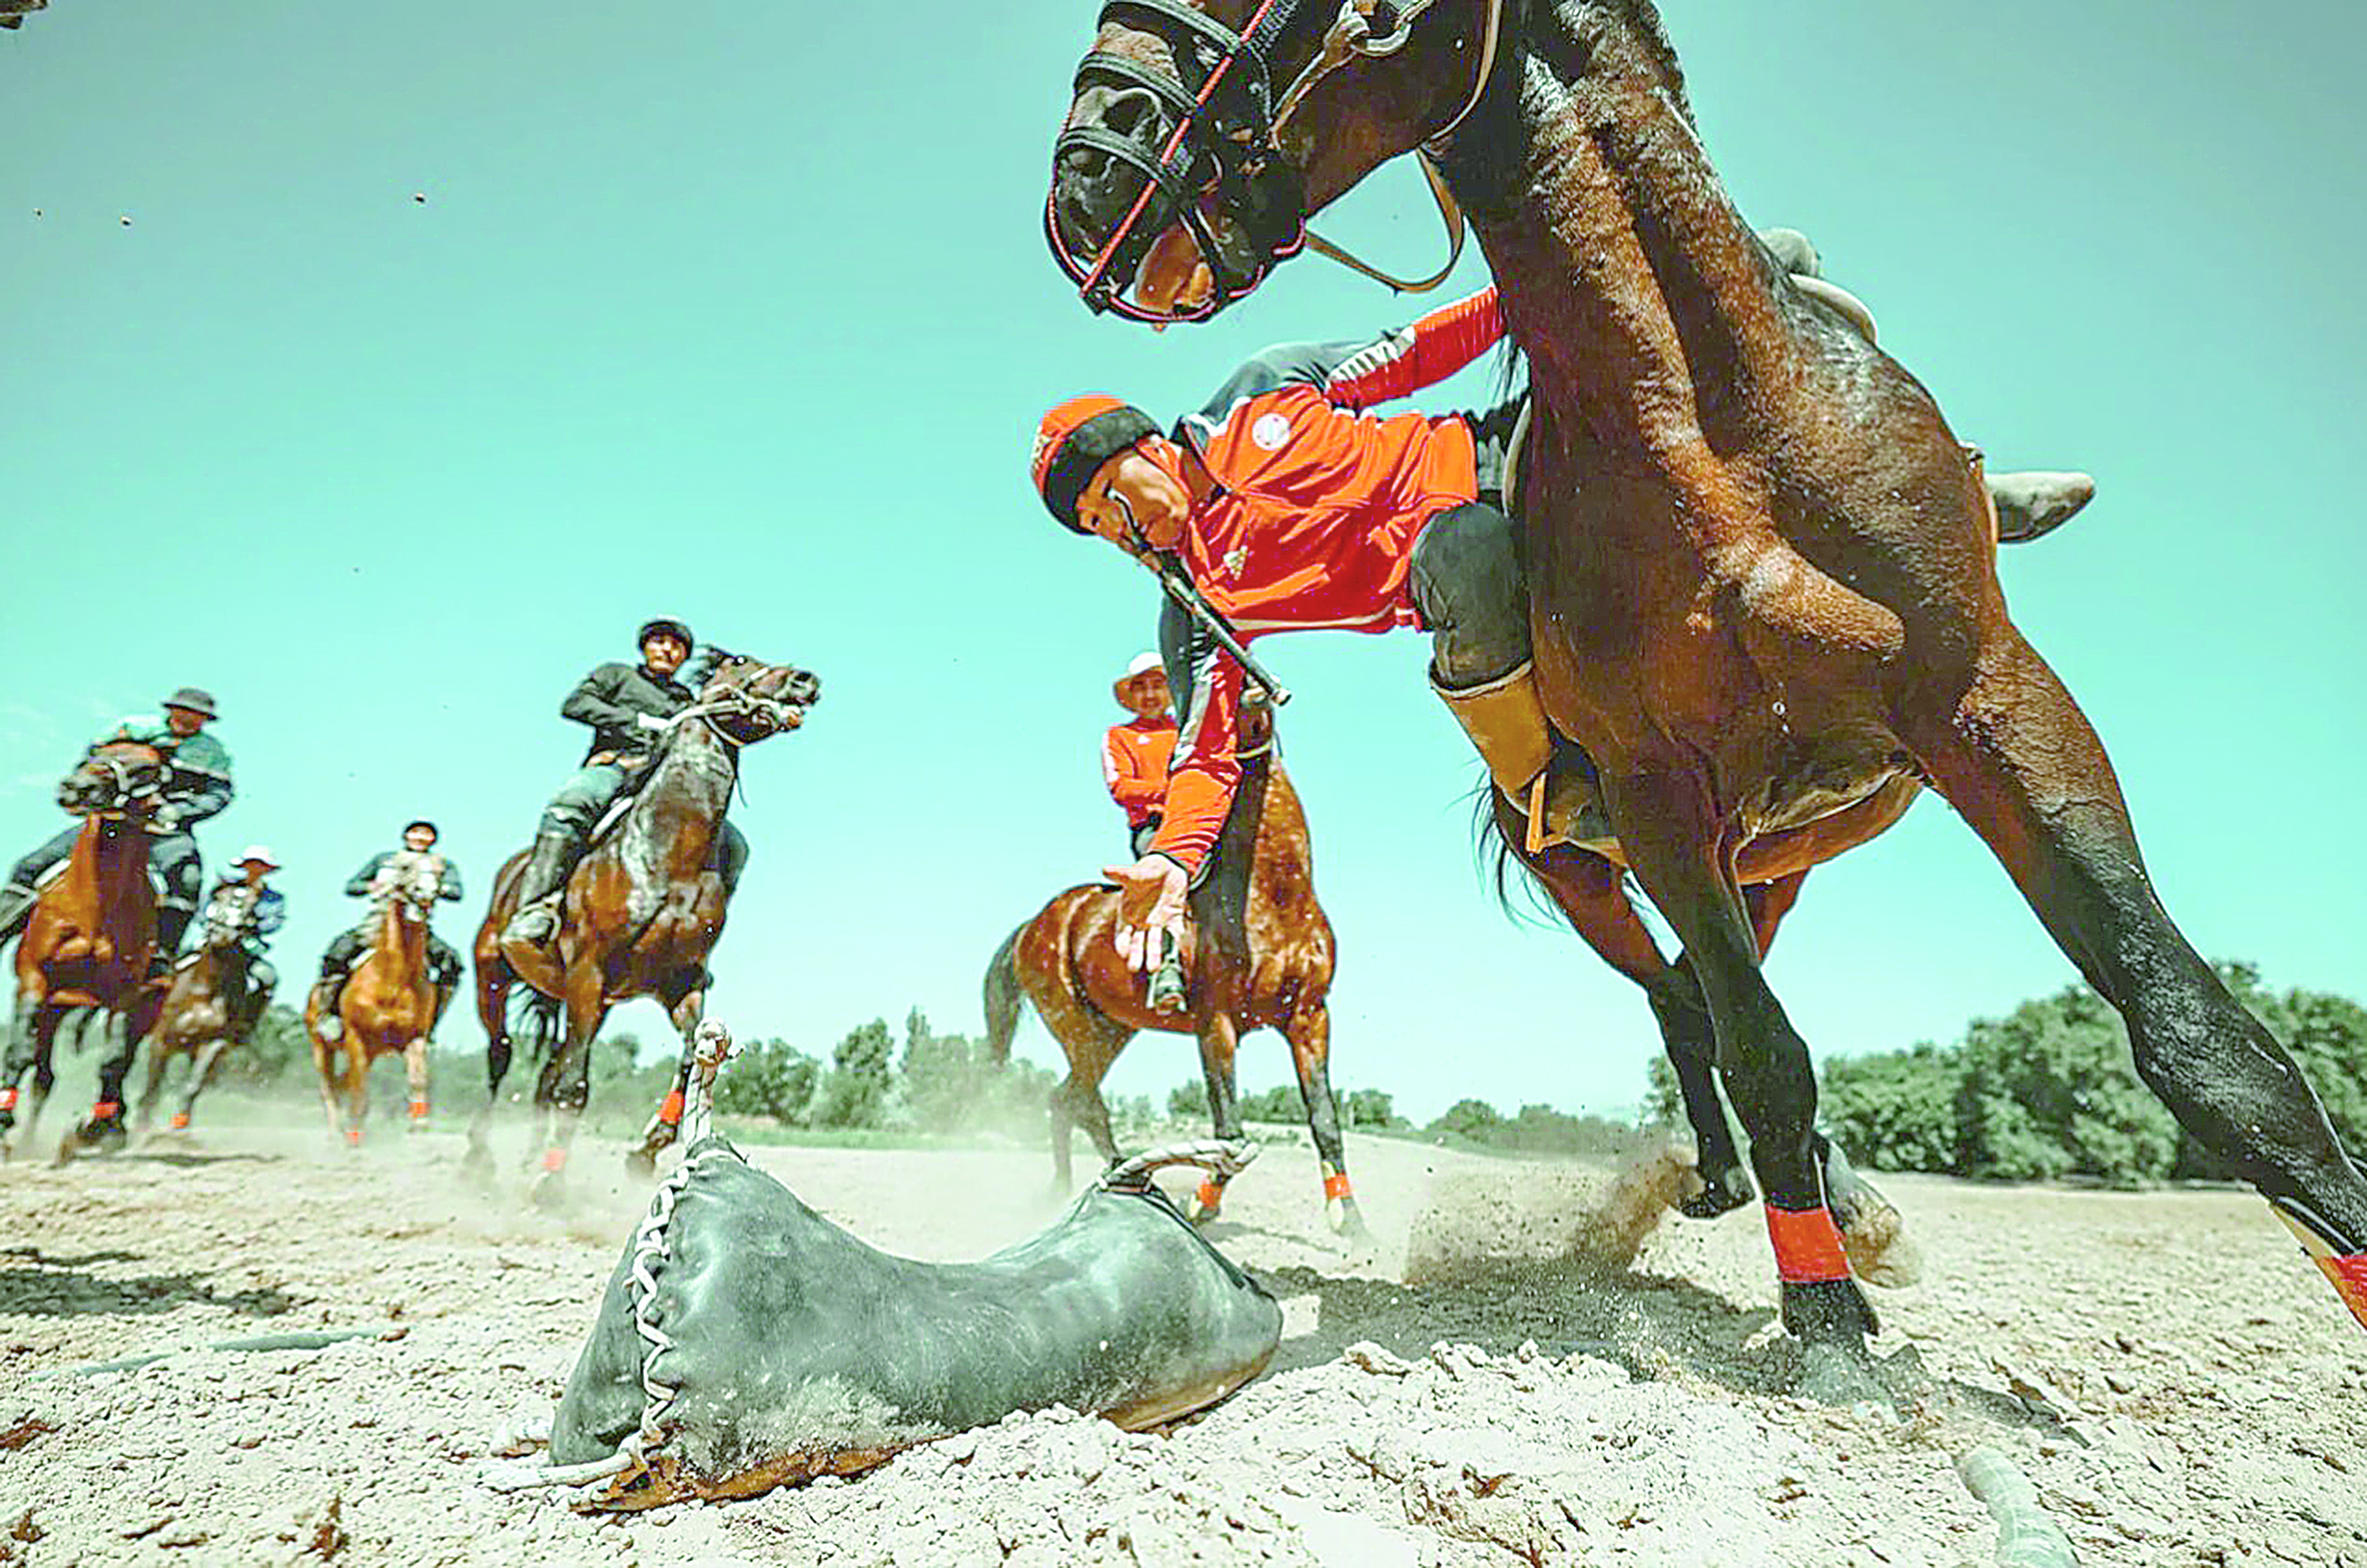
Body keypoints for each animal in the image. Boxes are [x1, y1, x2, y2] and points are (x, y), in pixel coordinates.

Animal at [0, 744, 169, 1160]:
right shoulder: (34, 978)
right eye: (98, 751)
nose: (76, 787)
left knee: (115, 1065)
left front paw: (97, 1128)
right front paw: (3, 1120)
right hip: (52, 1007)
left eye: (147, 768)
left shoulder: (126, 994)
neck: (95, 909)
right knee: (44, 1076)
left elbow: (112, 1061)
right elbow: (18, 1053)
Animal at [466, 649, 818, 1203]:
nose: (806, 679)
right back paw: (479, 1160)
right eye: (741, 660)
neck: (668, 851)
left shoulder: (681, 983)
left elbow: (689, 1057)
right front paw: (552, 1181)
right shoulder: (588, 974)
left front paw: (647, 1148)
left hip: (587, 1003)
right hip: (494, 978)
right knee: (501, 1058)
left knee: (546, 1072)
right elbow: (575, 1087)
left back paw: (525, 1159)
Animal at [979, 705, 1372, 1231]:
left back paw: (1095, 1182)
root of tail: (1036, 923)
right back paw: (1107, 1185)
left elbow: (1324, 1119)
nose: (1253, 700)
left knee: (1070, 1101)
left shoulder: (1309, 1018)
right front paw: (1203, 1203)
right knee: (1079, 1103)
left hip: (1111, 1031)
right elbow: (1229, 1128)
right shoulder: (1217, 1023)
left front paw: (1351, 1220)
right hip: (1077, 1029)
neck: (1274, 894)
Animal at [1051, 0, 2367, 1374]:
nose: (1086, 173)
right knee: (1689, 1000)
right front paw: (1824, 1317)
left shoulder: (1996, 702)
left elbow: (2199, 1036)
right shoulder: (1652, 790)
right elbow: (1758, 1046)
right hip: (1598, 871)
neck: (1711, 430)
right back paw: (1778, 1193)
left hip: (1778, 854)